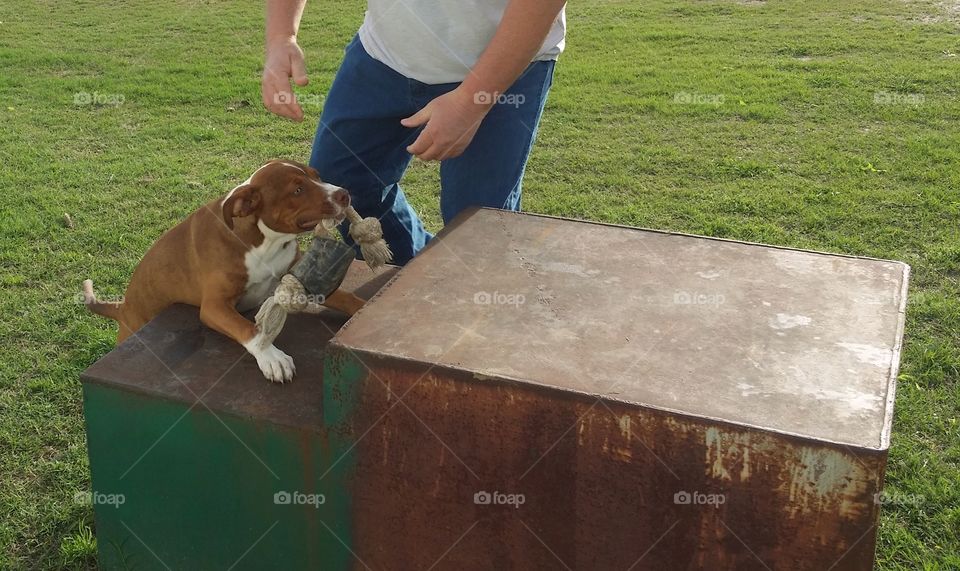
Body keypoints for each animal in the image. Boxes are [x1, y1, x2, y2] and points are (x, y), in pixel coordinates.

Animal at [84, 161, 364, 382]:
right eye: (297, 190)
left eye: (317, 175)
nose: (344, 194)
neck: (264, 241)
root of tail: (122, 307)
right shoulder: (214, 306)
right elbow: (249, 328)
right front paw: (271, 356)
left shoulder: (302, 276)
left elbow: (345, 297)